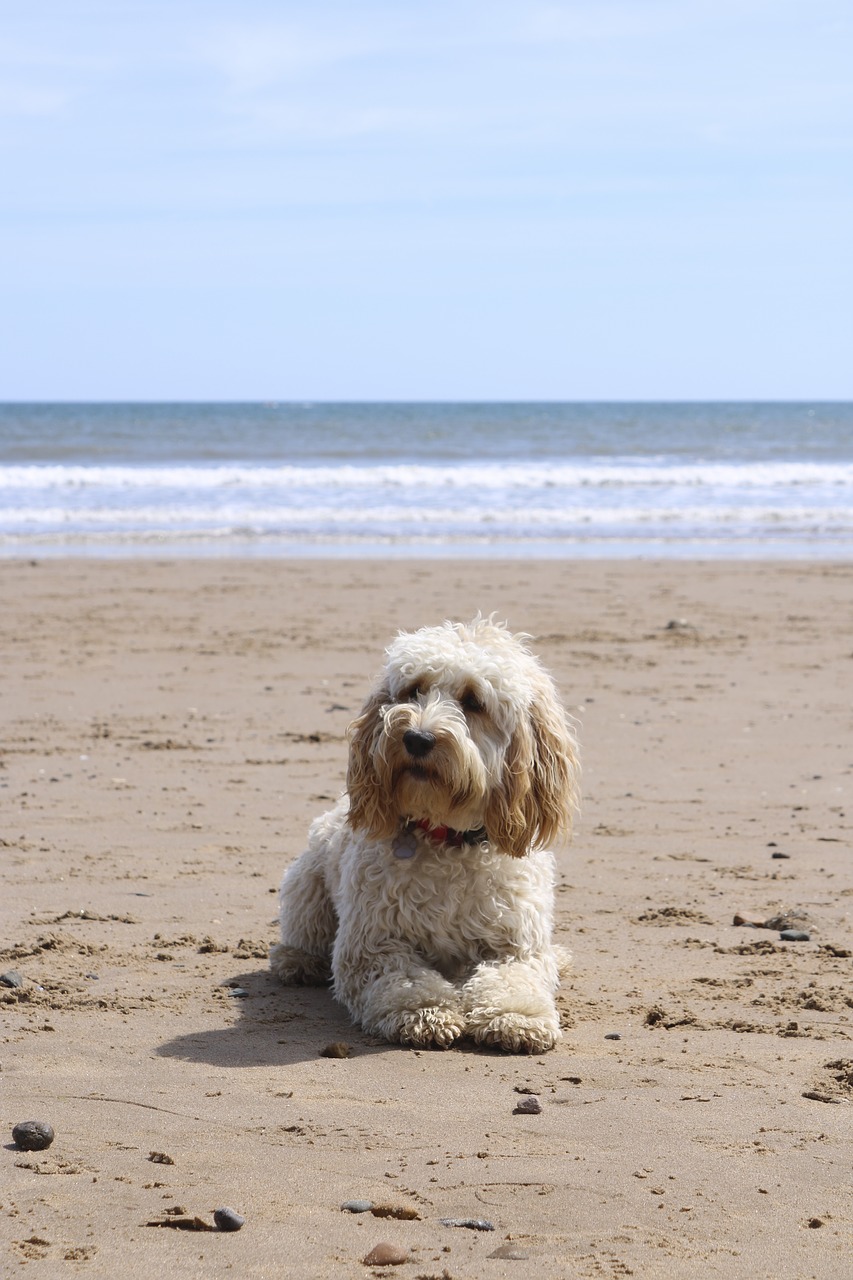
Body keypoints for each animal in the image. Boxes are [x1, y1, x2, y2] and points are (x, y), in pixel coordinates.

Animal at [270, 616, 578, 1049]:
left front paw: (517, 1016)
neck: (446, 837)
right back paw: (298, 960)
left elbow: (515, 979)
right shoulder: (372, 942)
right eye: (413, 689)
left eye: (473, 701)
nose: (416, 738)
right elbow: (405, 979)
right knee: (304, 933)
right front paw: (425, 1011)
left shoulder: (516, 945)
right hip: (306, 885)